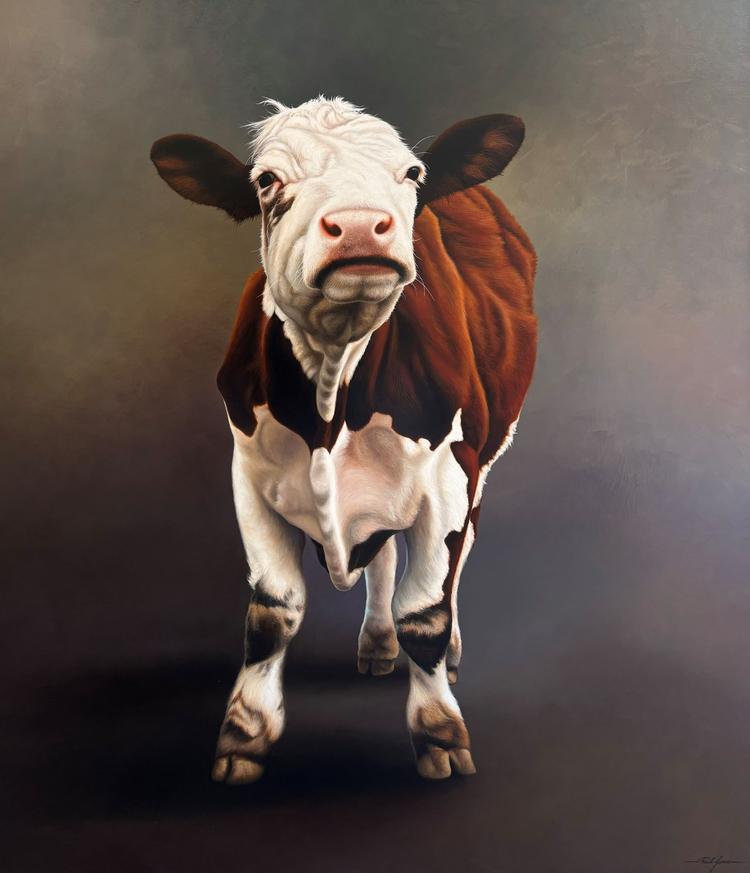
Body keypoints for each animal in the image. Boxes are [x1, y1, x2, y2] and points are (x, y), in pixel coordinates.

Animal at [150, 96, 537, 784]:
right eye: (267, 181)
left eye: (411, 173)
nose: (359, 227)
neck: (333, 391)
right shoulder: (248, 473)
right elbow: (273, 610)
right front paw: (244, 734)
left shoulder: (450, 475)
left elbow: (425, 612)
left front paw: (439, 731)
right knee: (381, 558)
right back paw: (377, 643)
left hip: (485, 461)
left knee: (456, 561)